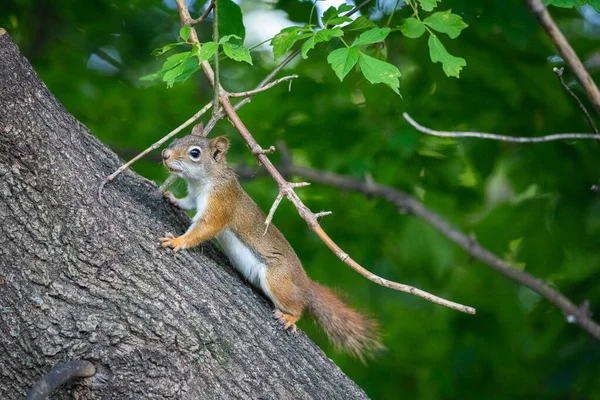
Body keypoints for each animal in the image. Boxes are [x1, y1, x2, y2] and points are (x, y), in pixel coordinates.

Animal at [159, 123, 382, 360]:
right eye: (176, 140)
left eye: (195, 153)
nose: (165, 155)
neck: (205, 181)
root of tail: (305, 284)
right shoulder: (194, 197)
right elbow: (187, 203)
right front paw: (172, 198)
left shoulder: (221, 205)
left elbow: (204, 229)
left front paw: (178, 241)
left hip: (277, 281)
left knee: (298, 306)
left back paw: (290, 317)